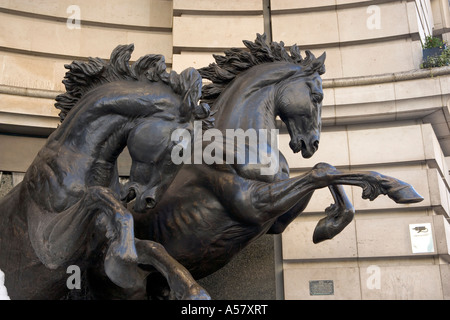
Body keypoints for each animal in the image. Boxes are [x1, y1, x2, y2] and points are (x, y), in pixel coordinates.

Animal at [0, 43, 210, 298]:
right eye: (178, 148)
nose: (149, 201)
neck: (77, 162)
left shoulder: (99, 242)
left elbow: (153, 246)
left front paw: (191, 289)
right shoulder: (49, 249)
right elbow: (100, 195)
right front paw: (124, 258)